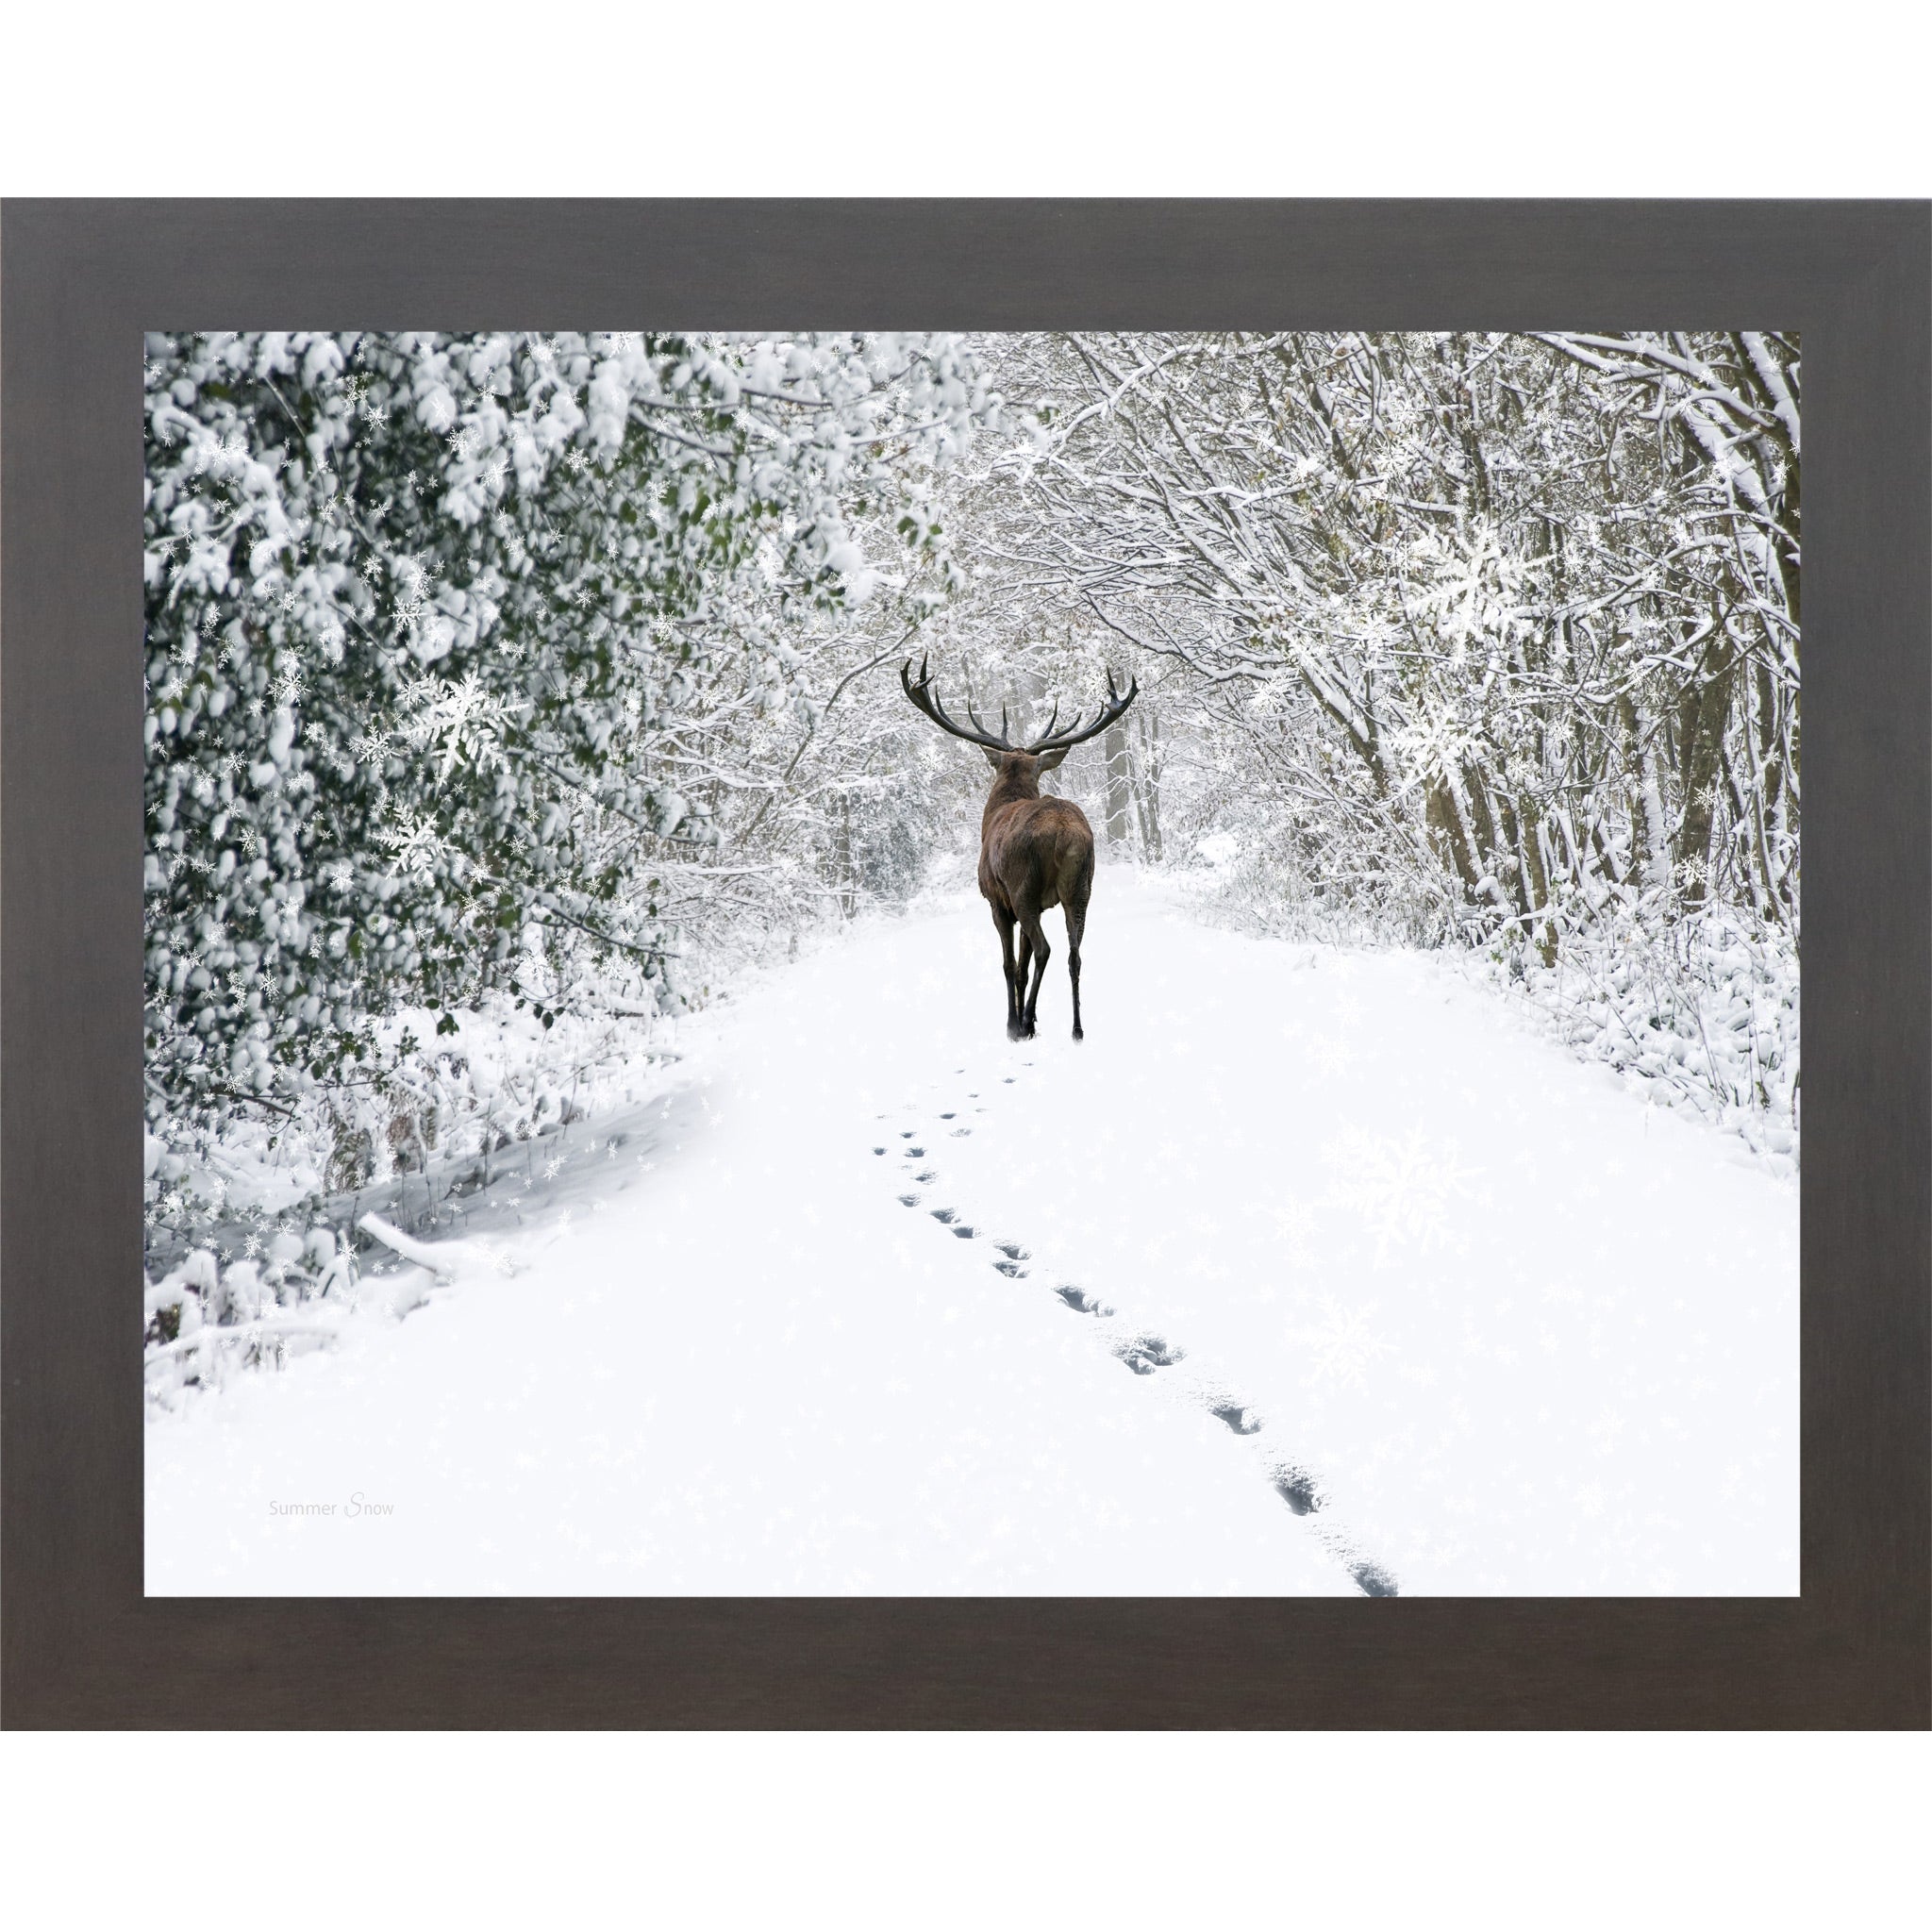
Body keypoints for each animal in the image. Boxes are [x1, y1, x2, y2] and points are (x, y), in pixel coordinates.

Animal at [900, 655, 1139, 1041]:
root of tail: (1065, 835)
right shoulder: (1041, 904)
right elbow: (1023, 967)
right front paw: (1033, 1018)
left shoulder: (998, 901)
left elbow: (1010, 964)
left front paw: (1013, 1023)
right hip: (1081, 888)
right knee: (1075, 953)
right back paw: (1076, 1028)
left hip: (1023, 887)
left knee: (1045, 949)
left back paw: (1024, 1022)